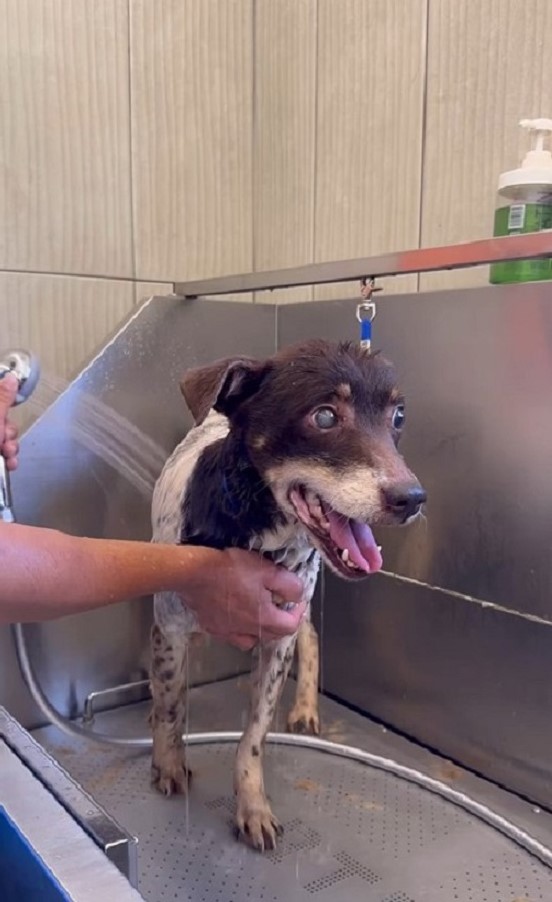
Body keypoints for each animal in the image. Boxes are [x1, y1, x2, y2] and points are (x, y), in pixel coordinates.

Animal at [149, 340, 424, 856]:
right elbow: (171, 704)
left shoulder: (279, 635)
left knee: (311, 636)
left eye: (398, 416)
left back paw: (305, 709)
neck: (257, 530)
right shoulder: (169, 627)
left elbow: (253, 737)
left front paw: (253, 807)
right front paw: (168, 764)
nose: (413, 499)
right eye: (324, 416)